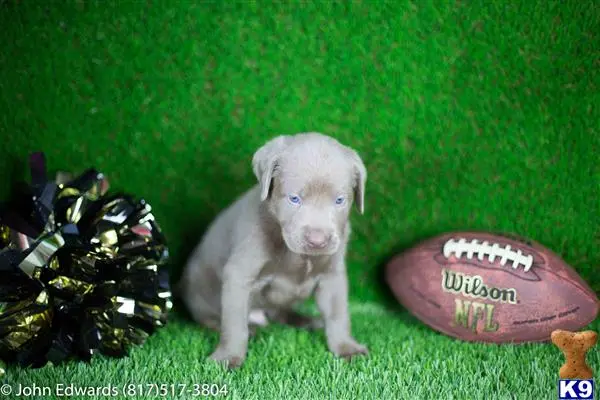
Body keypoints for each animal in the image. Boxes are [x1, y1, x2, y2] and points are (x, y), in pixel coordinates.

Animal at [176, 132, 368, 368]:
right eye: (294, 198)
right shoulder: (239, 274)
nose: (317, 241)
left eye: (339, 200)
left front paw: (346, 347)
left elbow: (338, 314)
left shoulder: (332, 276)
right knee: (209, 316)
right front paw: (228, 357)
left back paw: (306, 321)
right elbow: (234, 323)